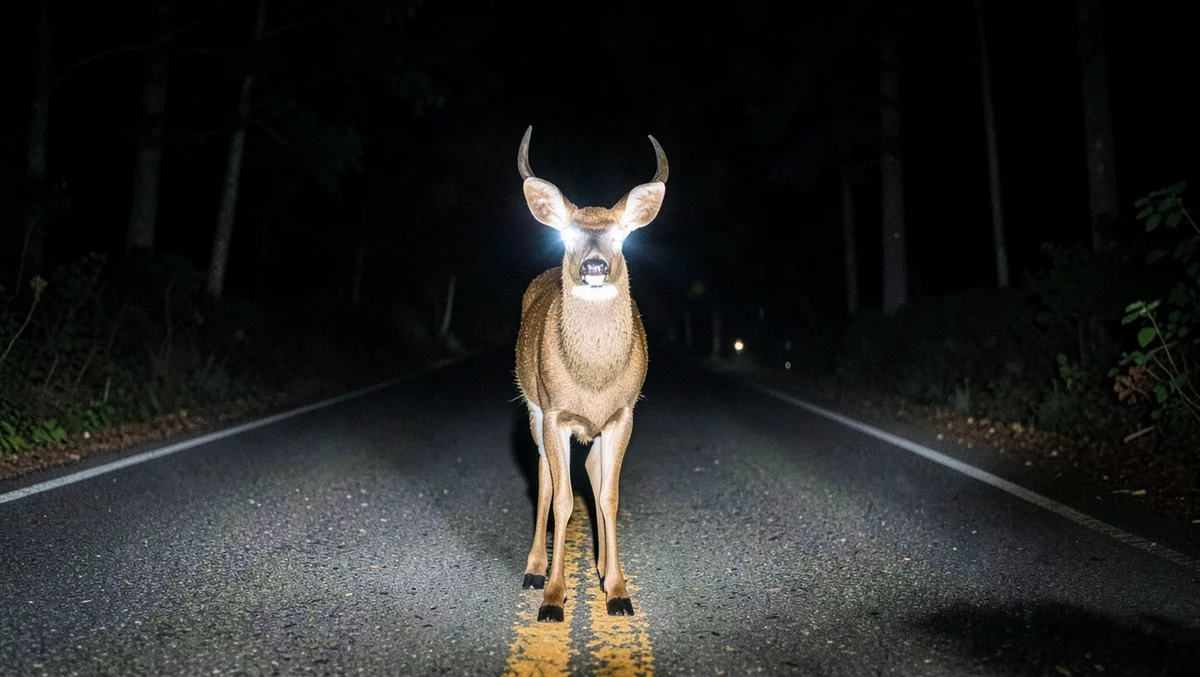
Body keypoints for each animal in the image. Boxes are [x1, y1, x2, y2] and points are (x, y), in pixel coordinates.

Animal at [513, 126, 668, 622]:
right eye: (565, 234)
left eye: (621, 236)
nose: (594, 266)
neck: (592, 383)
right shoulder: (555, 413)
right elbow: (563, 499)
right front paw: (553, 597)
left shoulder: (623, 414)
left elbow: (608, 496)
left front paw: (617, 591)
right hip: (532, 410)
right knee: (543, 479)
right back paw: (534, 569)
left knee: (594, 473)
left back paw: (599, 568)